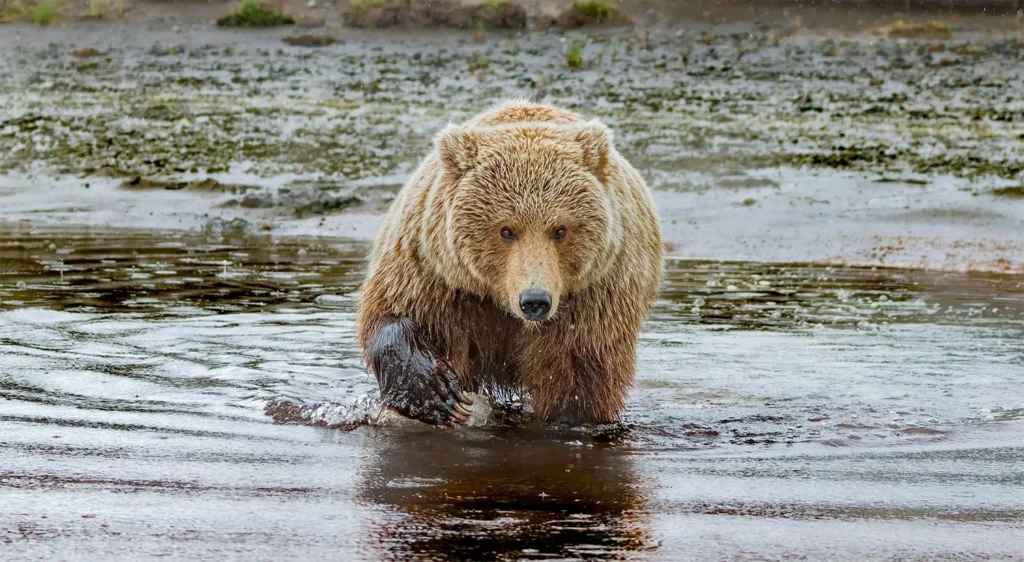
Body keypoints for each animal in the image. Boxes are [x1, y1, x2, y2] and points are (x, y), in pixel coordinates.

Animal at [356, 99, 663, 426]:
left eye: (560, 230)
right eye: (506, 230)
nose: (535, 300)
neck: (500, 299)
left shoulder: (593, 297)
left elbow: (578, 381)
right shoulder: (435, 273)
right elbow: (392, 313)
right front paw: (437, 392)